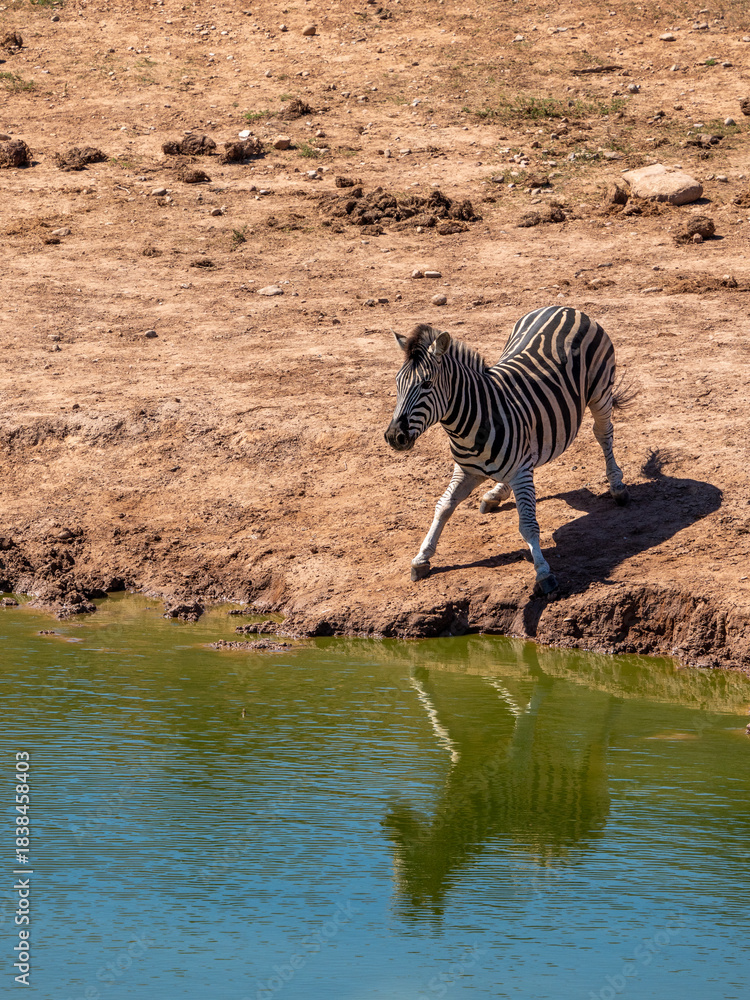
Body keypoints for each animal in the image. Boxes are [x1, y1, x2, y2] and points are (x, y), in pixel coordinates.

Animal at [384, 306, 629, 594]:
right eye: (397, 383)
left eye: (426, 384)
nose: (393, 437)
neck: (471, 421)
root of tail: (565, 308)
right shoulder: (466, 470)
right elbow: (443, 506)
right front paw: (422, 557)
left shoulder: (519, 470)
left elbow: (528, 525)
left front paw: (543, 573)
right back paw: (496, 493)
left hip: (600, 392)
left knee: (603, 434)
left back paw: (617, 486)